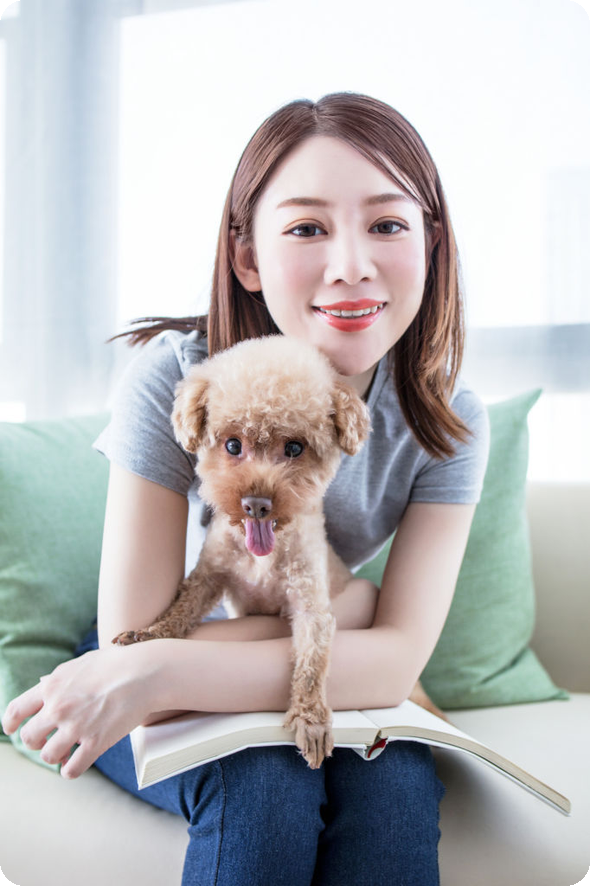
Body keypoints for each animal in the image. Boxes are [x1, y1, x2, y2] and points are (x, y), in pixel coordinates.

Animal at [113, 335, 444, 768]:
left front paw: (311, 720)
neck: (262, 556)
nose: (256, 503)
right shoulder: (210, 575)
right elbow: (181, 608)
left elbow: (311, 663)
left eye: (294, 448)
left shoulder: (311, 603)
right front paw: (149, 634)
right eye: (232, 444)